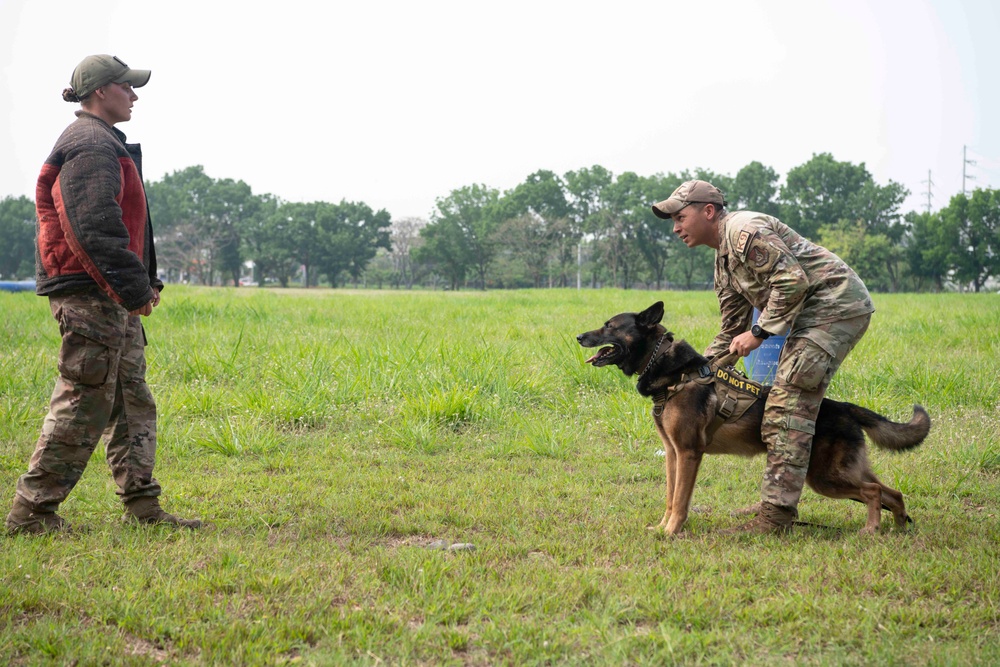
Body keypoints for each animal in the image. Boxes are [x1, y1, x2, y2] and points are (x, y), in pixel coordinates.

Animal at [580, 302, 928, 536]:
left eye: (610, 326)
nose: (579, 336)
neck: (674, 372)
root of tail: (843, 407)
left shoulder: (689, 453)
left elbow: (680, 500)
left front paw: (671, 532)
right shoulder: (672, 454)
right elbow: (670, 496)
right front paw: (662, 527)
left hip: (824, 477)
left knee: (873, 492)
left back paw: (871, 529)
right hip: (843, 472)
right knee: (891, 492)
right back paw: (899, 527)